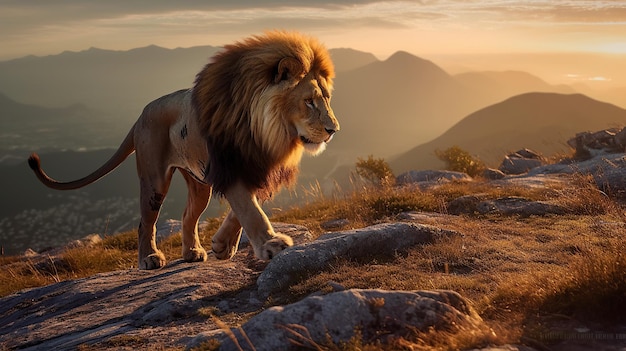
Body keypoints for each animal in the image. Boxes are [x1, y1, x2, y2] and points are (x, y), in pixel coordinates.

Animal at [26, 31, 338, 270]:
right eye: (309, 101)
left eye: (327, 98)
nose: (333, 130)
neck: (270, 133)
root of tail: (142, 114)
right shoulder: (231, 166)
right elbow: (251, 211)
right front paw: (272, 244)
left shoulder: (257, 169)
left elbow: (240, 211)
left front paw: (222, 245)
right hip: (154, 181)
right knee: (145, 223)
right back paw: (150, 258)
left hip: (199, 183)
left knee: (189, 216)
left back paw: (192, 253)